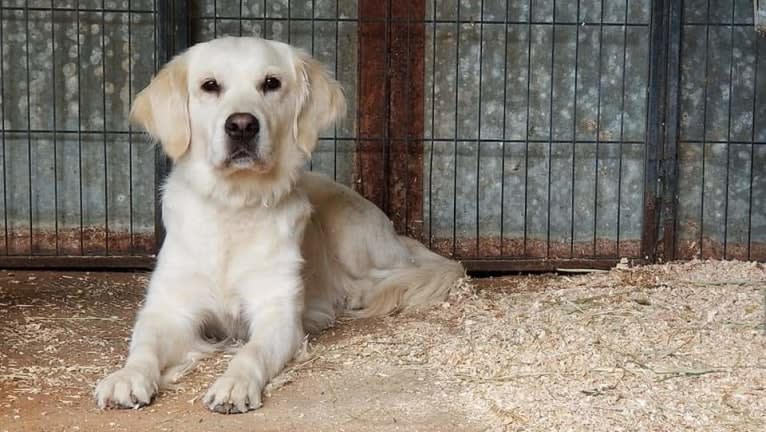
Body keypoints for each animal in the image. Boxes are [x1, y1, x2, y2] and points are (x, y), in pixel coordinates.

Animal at [93, 37, 464, 416]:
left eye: (271, 83)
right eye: (210, 85)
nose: (242, 125)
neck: (234, 206)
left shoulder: (278, 314)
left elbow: (251, 351)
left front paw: (235, 384)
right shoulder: (169, 309)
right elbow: (144, 346)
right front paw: (127, 376)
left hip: (351, 232)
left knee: (391, 275)